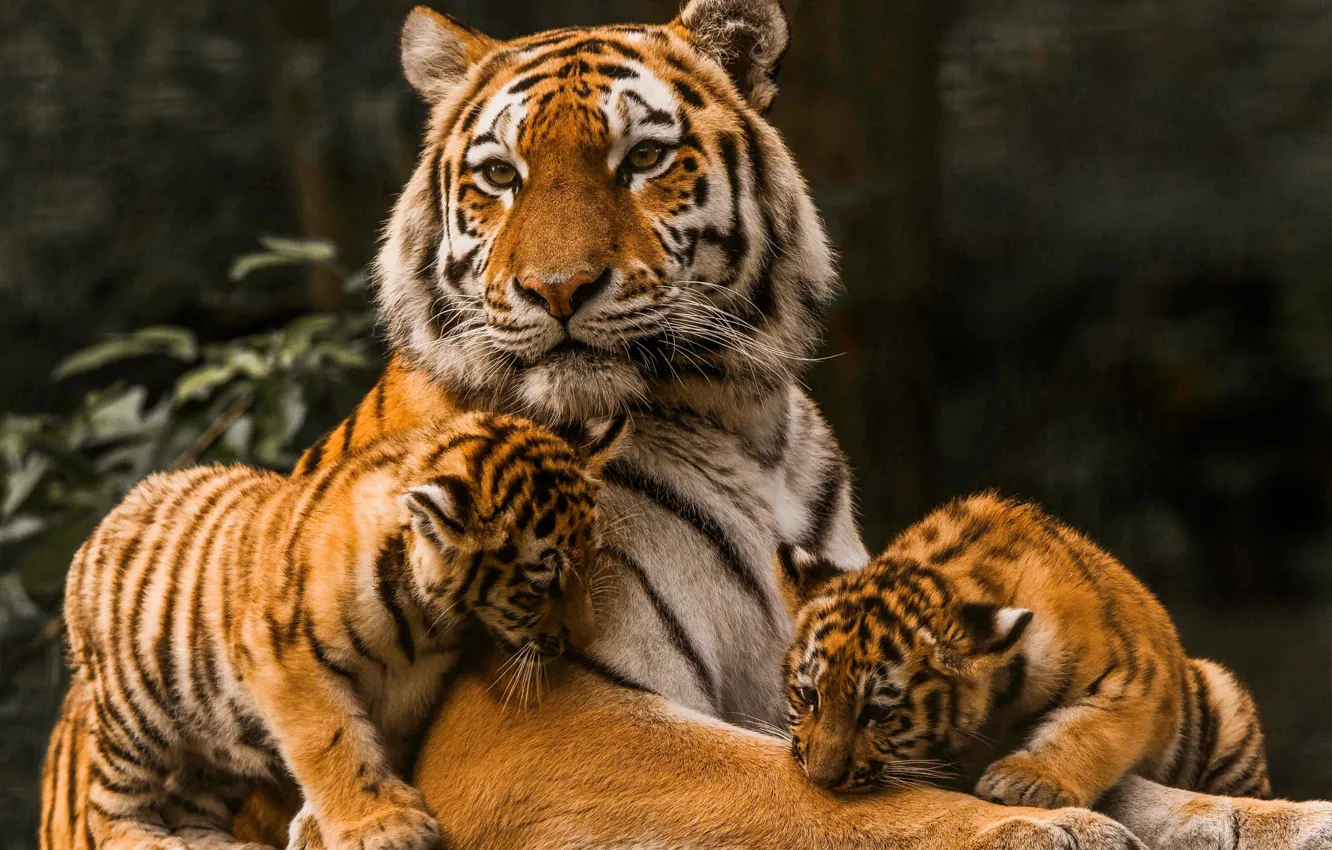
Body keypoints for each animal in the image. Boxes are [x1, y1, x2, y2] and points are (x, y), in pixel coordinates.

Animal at [59, 411, 625, 850]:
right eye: (542, 583)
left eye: (590, 559)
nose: (583, 639)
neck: (423, 621)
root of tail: (105, 521)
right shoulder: (285, 657)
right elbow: (333, 741)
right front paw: (382, 825)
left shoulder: (411, 685)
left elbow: (375, 744)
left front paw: (326, 825)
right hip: (136, 713)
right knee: (106, 804)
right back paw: (144, 837)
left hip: (216, 745)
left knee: (191, 803)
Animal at [774, 492, 1272, 809]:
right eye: (809, 695)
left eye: (876, 713)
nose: (821, 779)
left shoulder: (1133, 678)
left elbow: (1089, 730)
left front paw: (1024, 782)